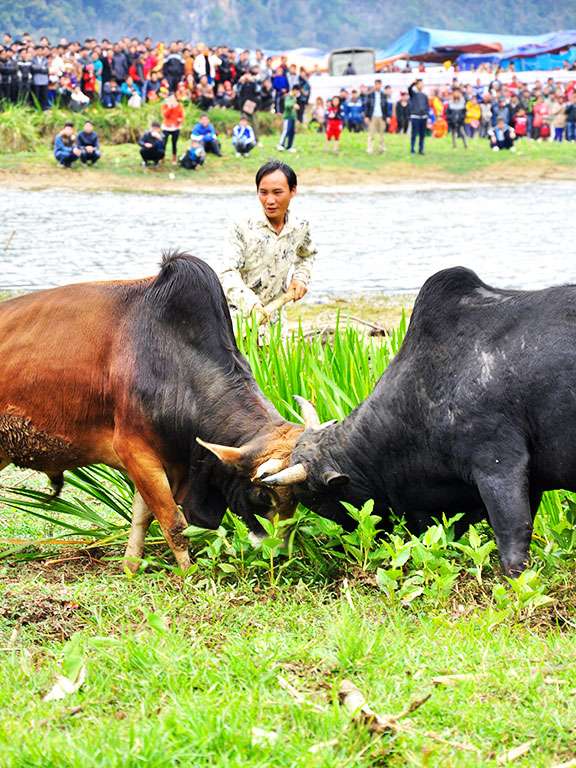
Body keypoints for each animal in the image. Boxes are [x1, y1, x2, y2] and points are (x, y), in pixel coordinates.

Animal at [0, 252, 332, 568]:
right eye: (264, 494)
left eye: (297, 500)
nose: (278, 552)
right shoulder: (134, 450)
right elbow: (174, 524)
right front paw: (188, 575)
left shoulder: (159, 461)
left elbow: (141, 519)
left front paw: (131, 569)